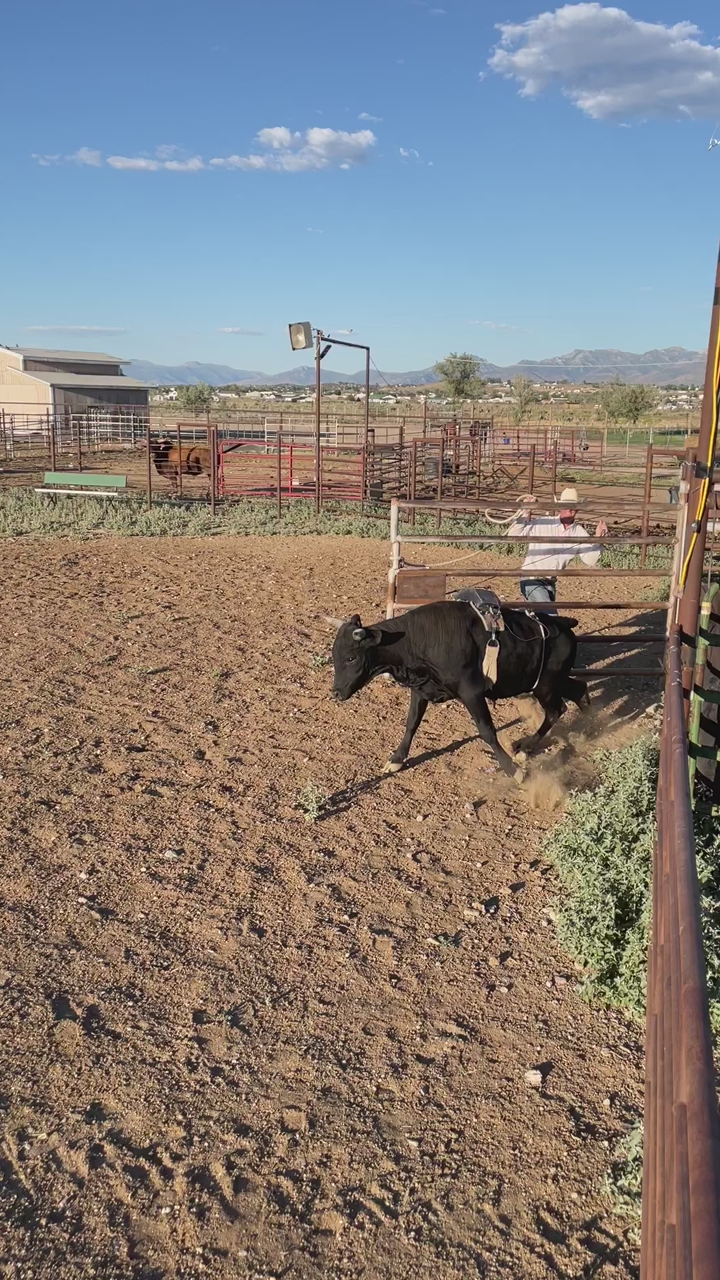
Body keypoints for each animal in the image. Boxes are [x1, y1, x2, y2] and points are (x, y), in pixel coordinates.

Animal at [331, 601, 589, 782]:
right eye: (334, 656)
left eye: (351, 657)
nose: (335, 693)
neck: (420, 638)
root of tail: (563, 624)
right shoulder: (421, 689)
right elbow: (411, 723)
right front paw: (396, 760)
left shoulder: (471, 692)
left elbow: (487, 731)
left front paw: (513, 771)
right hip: (550, 682)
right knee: (579, 691)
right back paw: (586, 730)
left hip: (545, 685)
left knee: (556, 709)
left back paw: (526, 749)